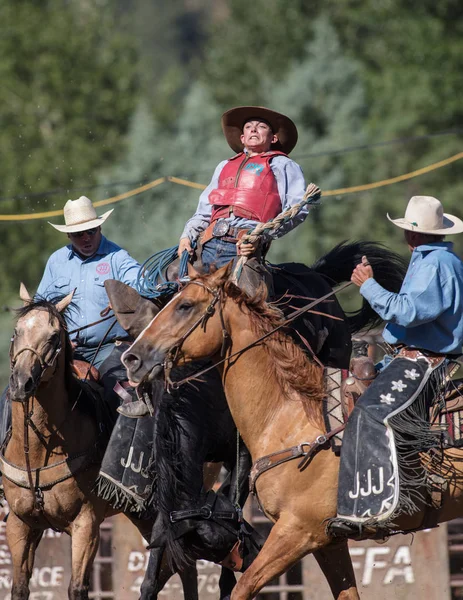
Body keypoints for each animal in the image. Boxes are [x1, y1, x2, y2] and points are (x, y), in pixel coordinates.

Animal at [122, 255, 463, 596]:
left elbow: (242, 587)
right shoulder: (328, 540)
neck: (290, 418)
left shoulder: (298, 531)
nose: (132, 358)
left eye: (185, 305)